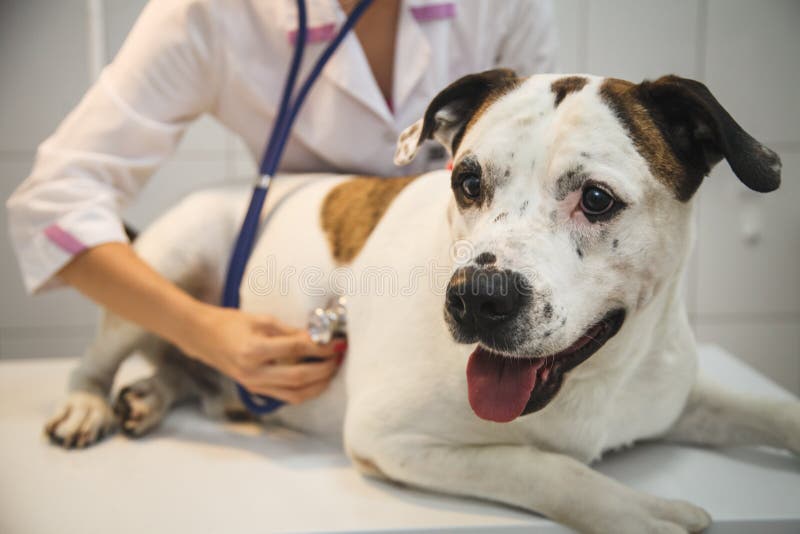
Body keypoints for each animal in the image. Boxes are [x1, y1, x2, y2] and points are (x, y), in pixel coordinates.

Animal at [45, 71, 800, 534]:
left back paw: (154, 396)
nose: (478, 298)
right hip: (171, 258)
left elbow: (771, 409)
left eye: (596, 198)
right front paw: (639, 512)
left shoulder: (677, 393)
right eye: (467, 181)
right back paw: (88, 404)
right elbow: (541, 465)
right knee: (106, 350)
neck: (597, 378)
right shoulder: (390, 438)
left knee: (181, 362)